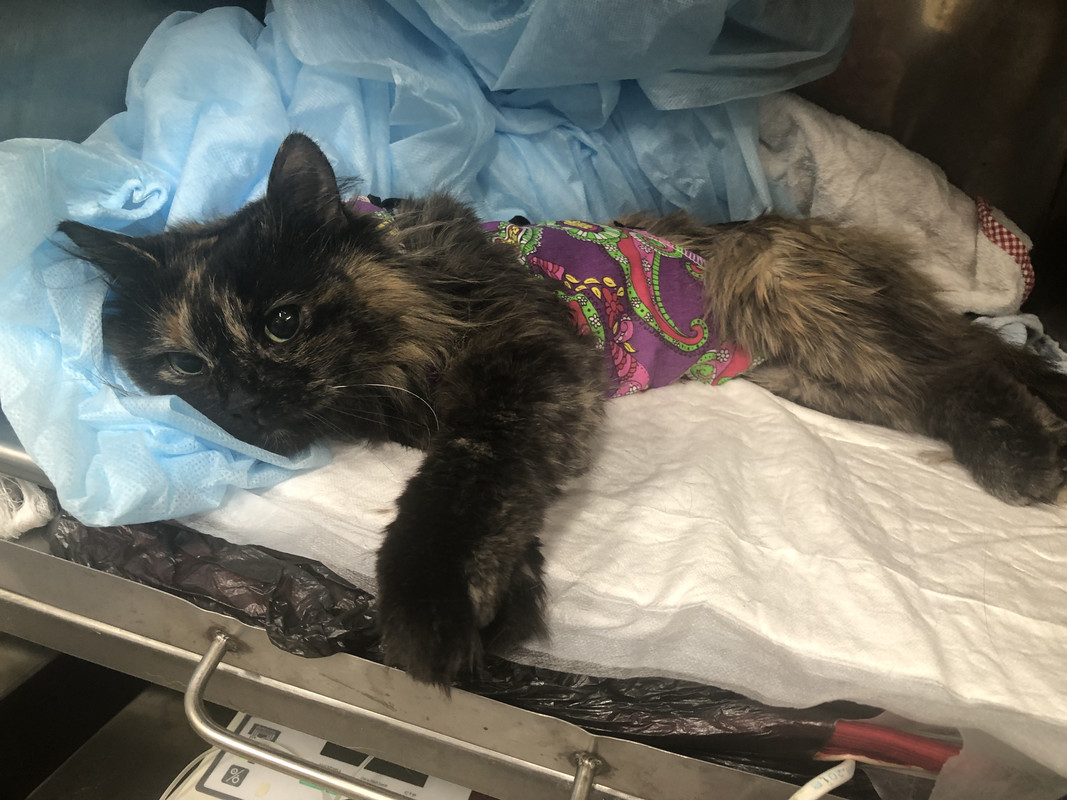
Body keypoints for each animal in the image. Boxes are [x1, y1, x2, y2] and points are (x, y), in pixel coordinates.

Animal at [58, 133, 1067, 687]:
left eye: (281, 322)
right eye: (183, 363)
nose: (235, 395)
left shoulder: (529, 374)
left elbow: (464, 487)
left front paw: (426, 616)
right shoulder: (543, 403)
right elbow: (512, 510)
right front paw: (501, 611)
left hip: (792, 305)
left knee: (961, 374)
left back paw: (1027, 459)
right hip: (817, 376)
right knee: (977, 360)